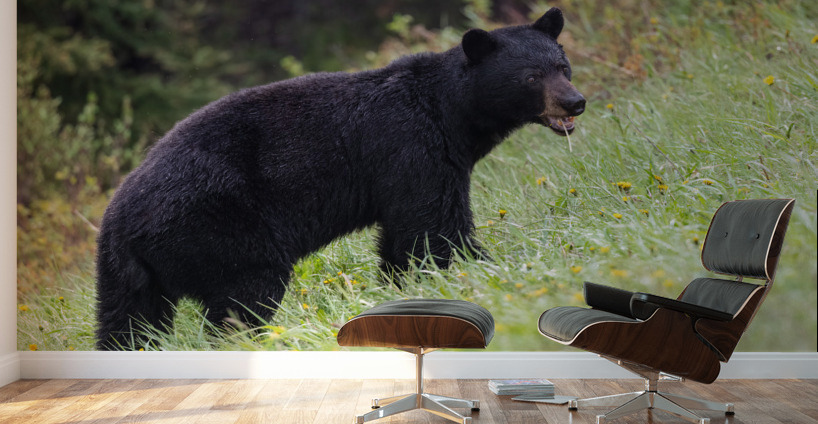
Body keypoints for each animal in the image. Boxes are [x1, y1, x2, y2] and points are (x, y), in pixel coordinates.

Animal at [95, 7, 585, 350]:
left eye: (563, 66)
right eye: (531, 76)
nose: (574, 102)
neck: (451, 112)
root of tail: (121, 221)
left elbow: (404, 238)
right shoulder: (413, 147)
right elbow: (434, 225)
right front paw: (489, 268)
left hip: (129, 274)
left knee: (129, 322)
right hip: (218, 226)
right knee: (244, 294)